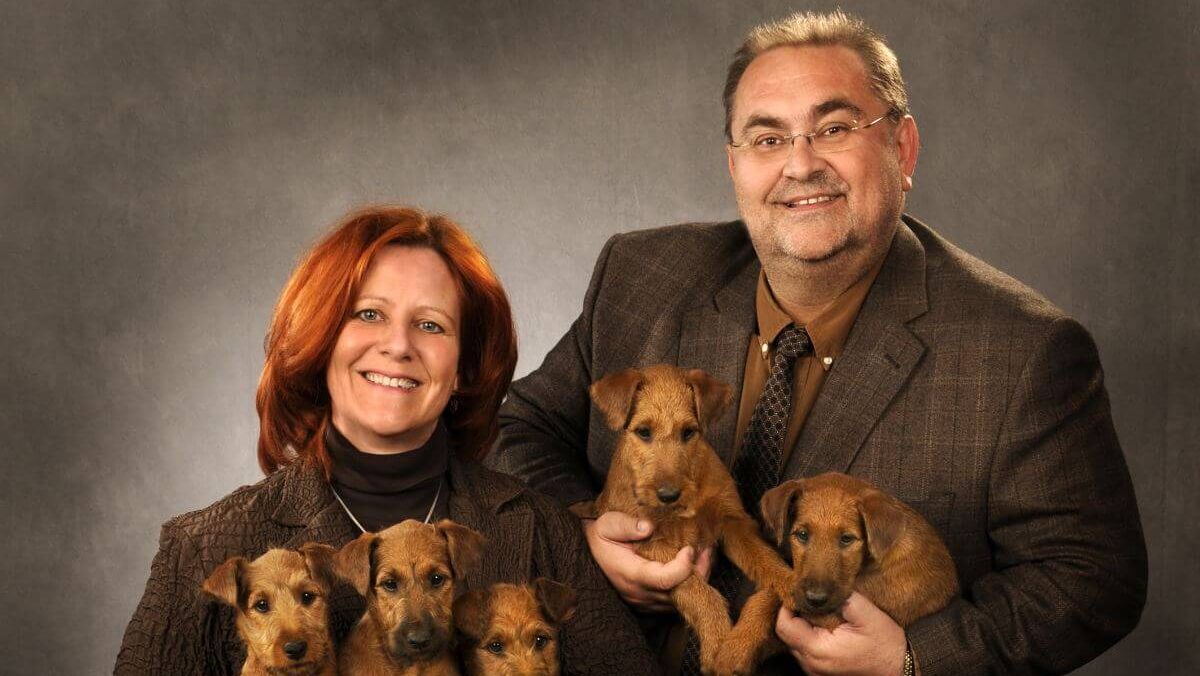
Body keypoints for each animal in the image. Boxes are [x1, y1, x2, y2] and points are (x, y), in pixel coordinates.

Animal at [583, 367, 792, 672]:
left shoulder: (733, 521)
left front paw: (791, 581)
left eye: (688, 432)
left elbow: (764, 557)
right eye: (643, 432)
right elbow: (700, 592)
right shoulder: (649, 541)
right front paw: (717, 644)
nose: (668, 495)